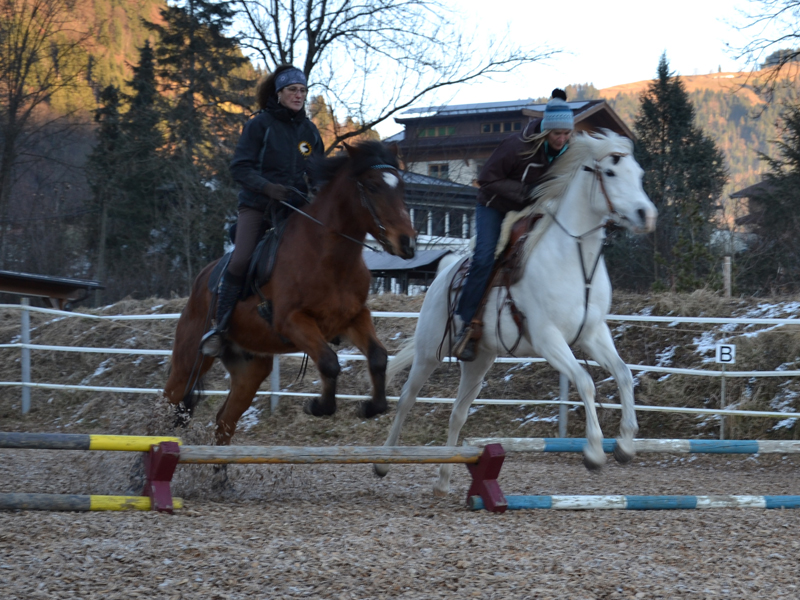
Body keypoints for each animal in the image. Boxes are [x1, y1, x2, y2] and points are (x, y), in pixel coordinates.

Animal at [165, 142, 416, 446]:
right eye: (372, 186)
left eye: (401, 187)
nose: (407, 243)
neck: (330, 256)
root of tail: (201, 280)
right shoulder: (292, 322)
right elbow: (329, 363)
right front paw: (318, 406)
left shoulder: (353, 318)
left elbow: (378, 357)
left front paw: (370, 407)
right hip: (190, 360)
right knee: (169, 406)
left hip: (249, 368)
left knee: (224, 420)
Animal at [378, 129, 660, 494]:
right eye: (610, 173)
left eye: (638, 174)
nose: (646, 215)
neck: (574, 259)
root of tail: (443, 272)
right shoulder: (547, 339)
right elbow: (585, 382)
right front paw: (595, 452)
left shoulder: (593, 333)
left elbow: (624, 374)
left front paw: (625, 444)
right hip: (429, 352)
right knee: (406, 400)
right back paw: (383, 462)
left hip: (479, 360)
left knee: (457, 412)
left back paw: (443, 479)